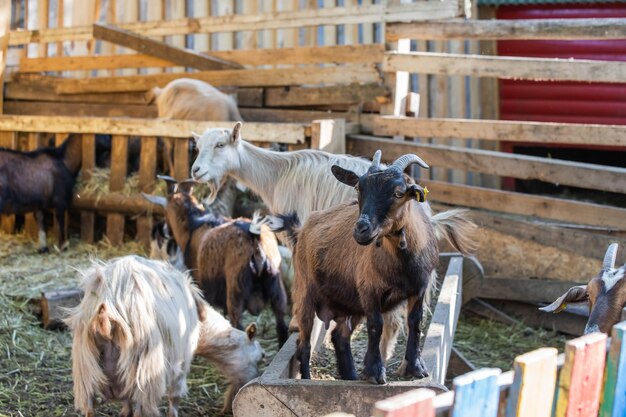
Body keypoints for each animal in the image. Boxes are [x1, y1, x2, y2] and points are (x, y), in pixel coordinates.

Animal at [66, 255, 264, 416]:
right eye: (261, 357)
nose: (251, 382)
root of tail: (107, 313)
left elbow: (126, 404)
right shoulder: (182, 360)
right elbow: (174, 398)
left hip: (86, 370)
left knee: (90, 410)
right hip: (144, 373)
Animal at [141, 180, 288, 346]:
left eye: (165, 211)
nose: (165, 230)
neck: (193, 225)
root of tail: (255, 240)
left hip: (236, 288)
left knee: (239, 324)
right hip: (276, 286)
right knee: (281, 323)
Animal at [270, 150, 478, 384]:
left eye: (399, 193)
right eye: (359, 188)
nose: (361, 229)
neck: (401, 264)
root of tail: (303, 227)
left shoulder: (419, 288)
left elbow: (415, 322)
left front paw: (416, 368)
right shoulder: (369, 290)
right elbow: (375, 325)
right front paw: (375, 372)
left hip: (350, 303)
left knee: (339, 336)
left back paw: (350, 376)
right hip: (305, 292)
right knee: (303, 345)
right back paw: (307, 378)